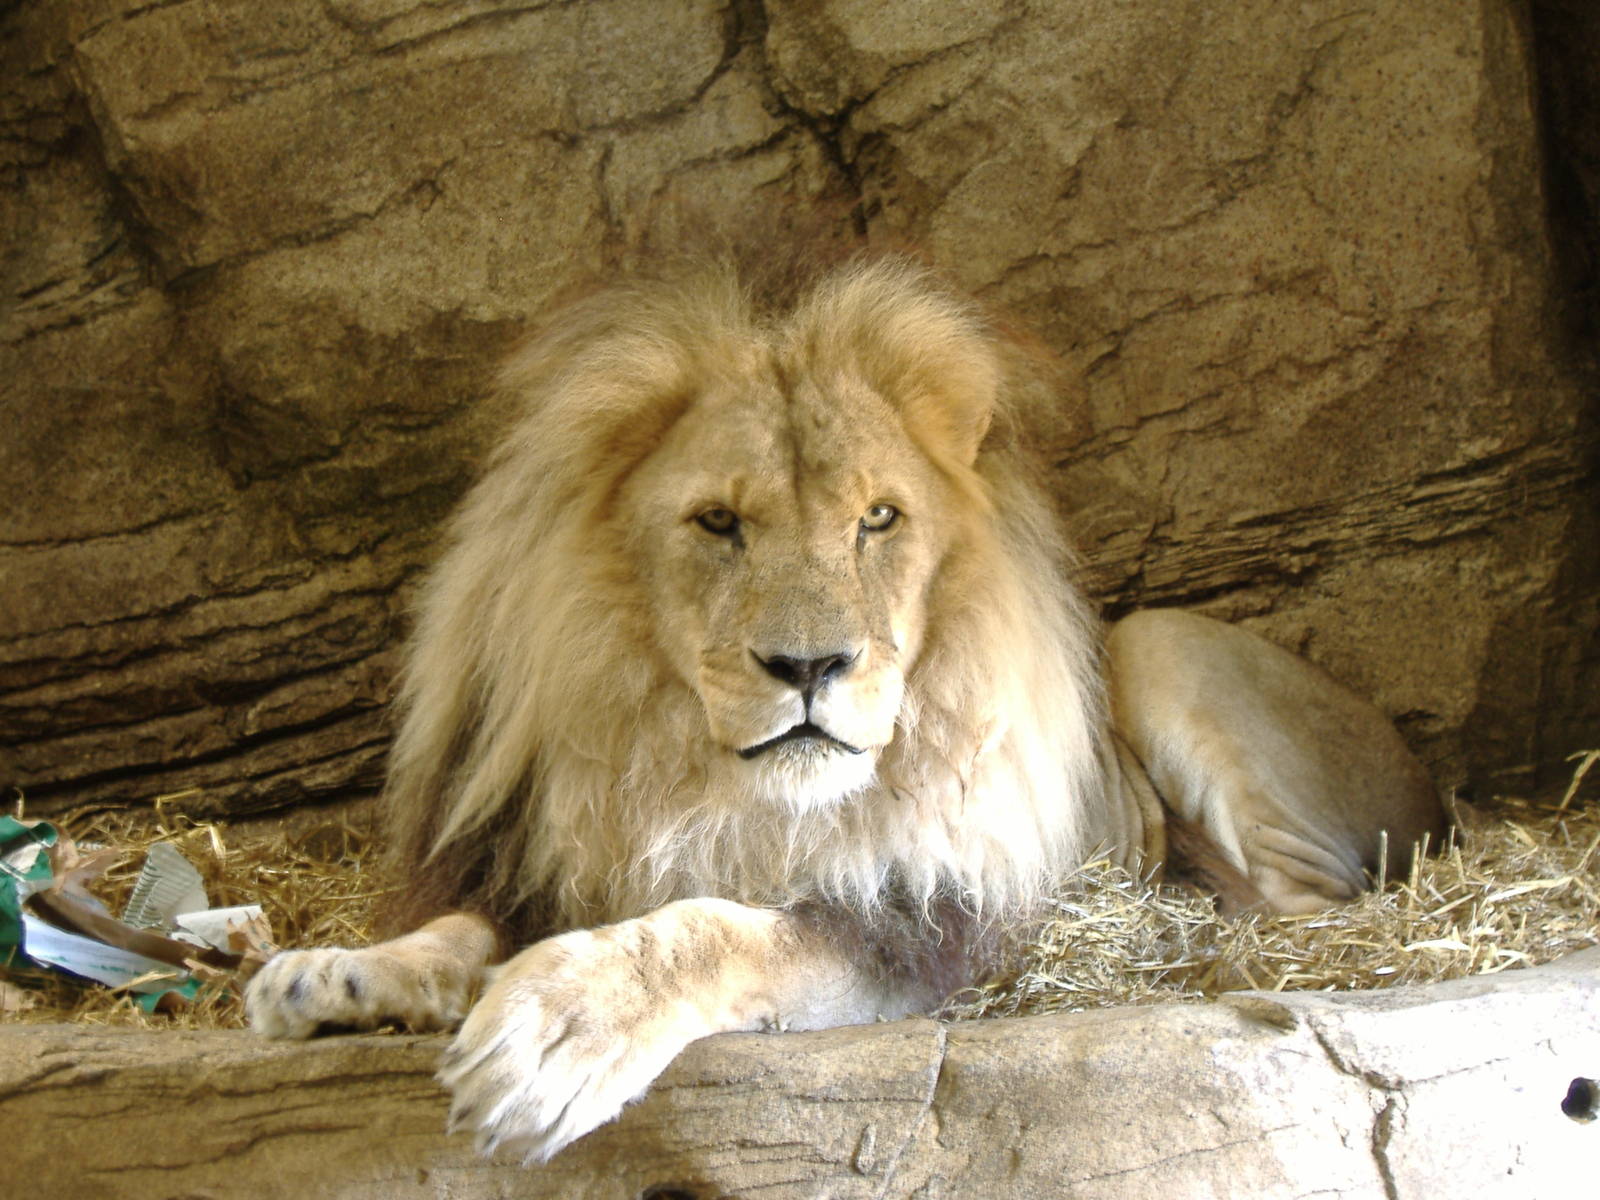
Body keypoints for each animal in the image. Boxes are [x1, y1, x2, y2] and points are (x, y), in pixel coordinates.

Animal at [245, 254, 1445, 1162]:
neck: (686, 774)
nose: (810, 664)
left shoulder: (916, 922)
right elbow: (459, 928)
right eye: (718, 522)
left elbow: (719, 929)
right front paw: (334, 973)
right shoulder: (542, 855)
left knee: (1307, 905)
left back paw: (1199, 936)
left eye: (877, 519)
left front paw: (560, 1025)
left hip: (1158, 647)